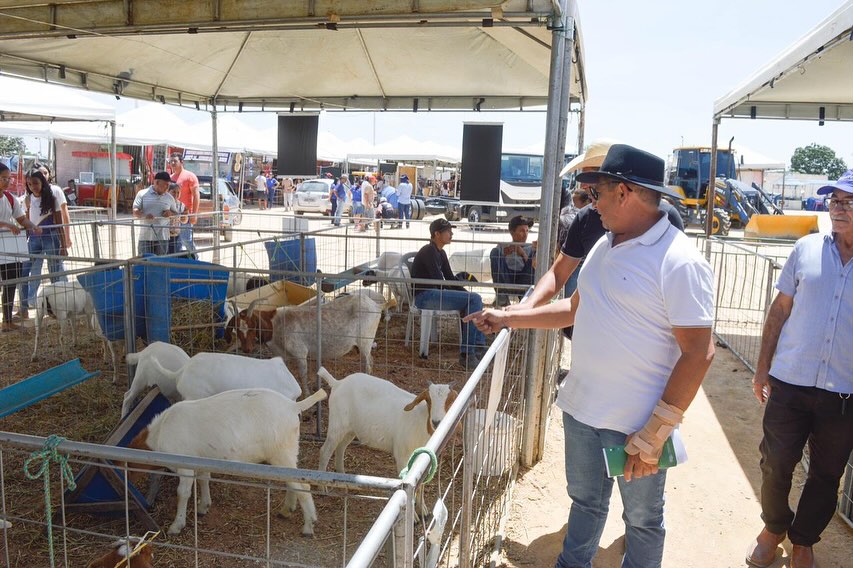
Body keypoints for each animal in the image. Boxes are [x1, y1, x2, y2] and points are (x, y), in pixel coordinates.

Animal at [128, 388, 324, 536]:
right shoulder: (201, 460)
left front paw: (176, 526)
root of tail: (293, 406)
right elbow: (204, 479)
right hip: (286, 452)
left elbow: (182, 493)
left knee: (303, 486)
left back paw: (308, 526)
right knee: (293, 481)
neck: (160, 433)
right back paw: (286, 510)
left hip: (281, 452)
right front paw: (203, 506)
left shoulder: (184, 465)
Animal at [316, 368, 456, 516]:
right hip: (337, 425)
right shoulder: (402, 455)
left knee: (340, 448)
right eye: (429, 400)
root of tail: (338, 383)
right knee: (325, 451)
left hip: (350, 429)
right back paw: (322, 488)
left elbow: (422, 483)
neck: (420, 421)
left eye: (450, 401)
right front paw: (413, 515)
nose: (436, 422)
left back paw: (341, 476)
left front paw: (422, 509)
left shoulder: (427, 458)